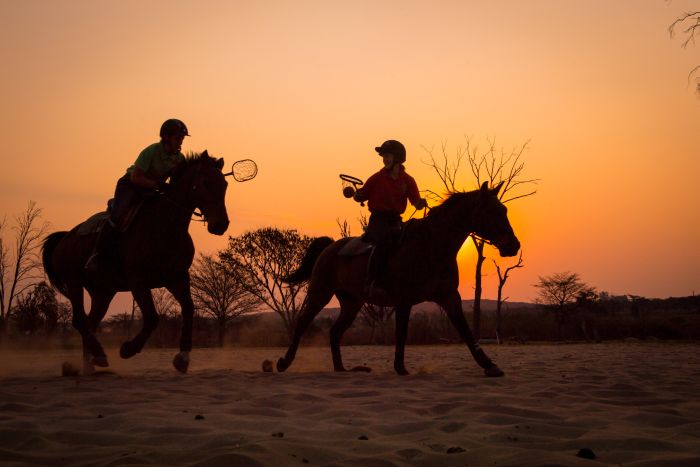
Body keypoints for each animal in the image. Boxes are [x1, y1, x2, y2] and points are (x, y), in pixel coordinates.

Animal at [41, 152, 230, 374]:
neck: (163, 225)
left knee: (91, 322)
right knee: (80, 320)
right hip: (74, 282)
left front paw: (182, 358)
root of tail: (65, 237)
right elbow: (152, 317)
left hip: (103, 291)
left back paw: (91, 364)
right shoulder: (138, 281)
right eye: (205, 183)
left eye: (224, 184)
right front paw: (128, 349)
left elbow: (189, 309)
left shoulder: (177, 278)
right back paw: (98, 356)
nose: (221, 224)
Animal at [278, 181, 520, 378]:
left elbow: (465, 330)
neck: (431, 246)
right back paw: (284, 363)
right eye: (492, 211)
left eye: (505, 210)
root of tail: (330, 247)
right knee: (302, 322)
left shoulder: (449, 297)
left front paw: (490, 366)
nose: (514, 246)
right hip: (320, 292)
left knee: (335, 332)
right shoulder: (404, 300)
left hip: (351, 302)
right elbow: (401, 333)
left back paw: (341, 369)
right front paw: (400, 368)